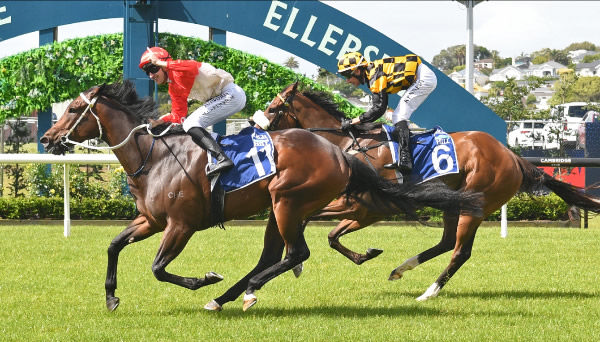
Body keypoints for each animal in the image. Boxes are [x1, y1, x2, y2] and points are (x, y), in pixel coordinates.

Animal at [39, 81, 482, 312]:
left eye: (74, 108)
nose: (46, 139)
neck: (156, 156)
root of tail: (338, 152)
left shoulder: (180, 225)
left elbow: (159, 268)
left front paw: (204, 278)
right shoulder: (150, 220)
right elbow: (114, 245)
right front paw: (111, 297)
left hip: (287, 200)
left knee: (296, 252)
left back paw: (243, 290)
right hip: (278, 207)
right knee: (275, 254)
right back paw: (229, 295)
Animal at [254, 81, 600, 300]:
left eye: (272, 108)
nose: (256, 132)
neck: (347, 145)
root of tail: (513, 156)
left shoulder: (366, 208)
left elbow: (311, 224)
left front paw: (296, 261)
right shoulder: (364, 211)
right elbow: (329, 235)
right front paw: (363, 254)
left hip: (475, 205)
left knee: (460, 251)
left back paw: (429, 292)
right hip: (454, 203)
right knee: (446, 242)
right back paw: (401, 269)